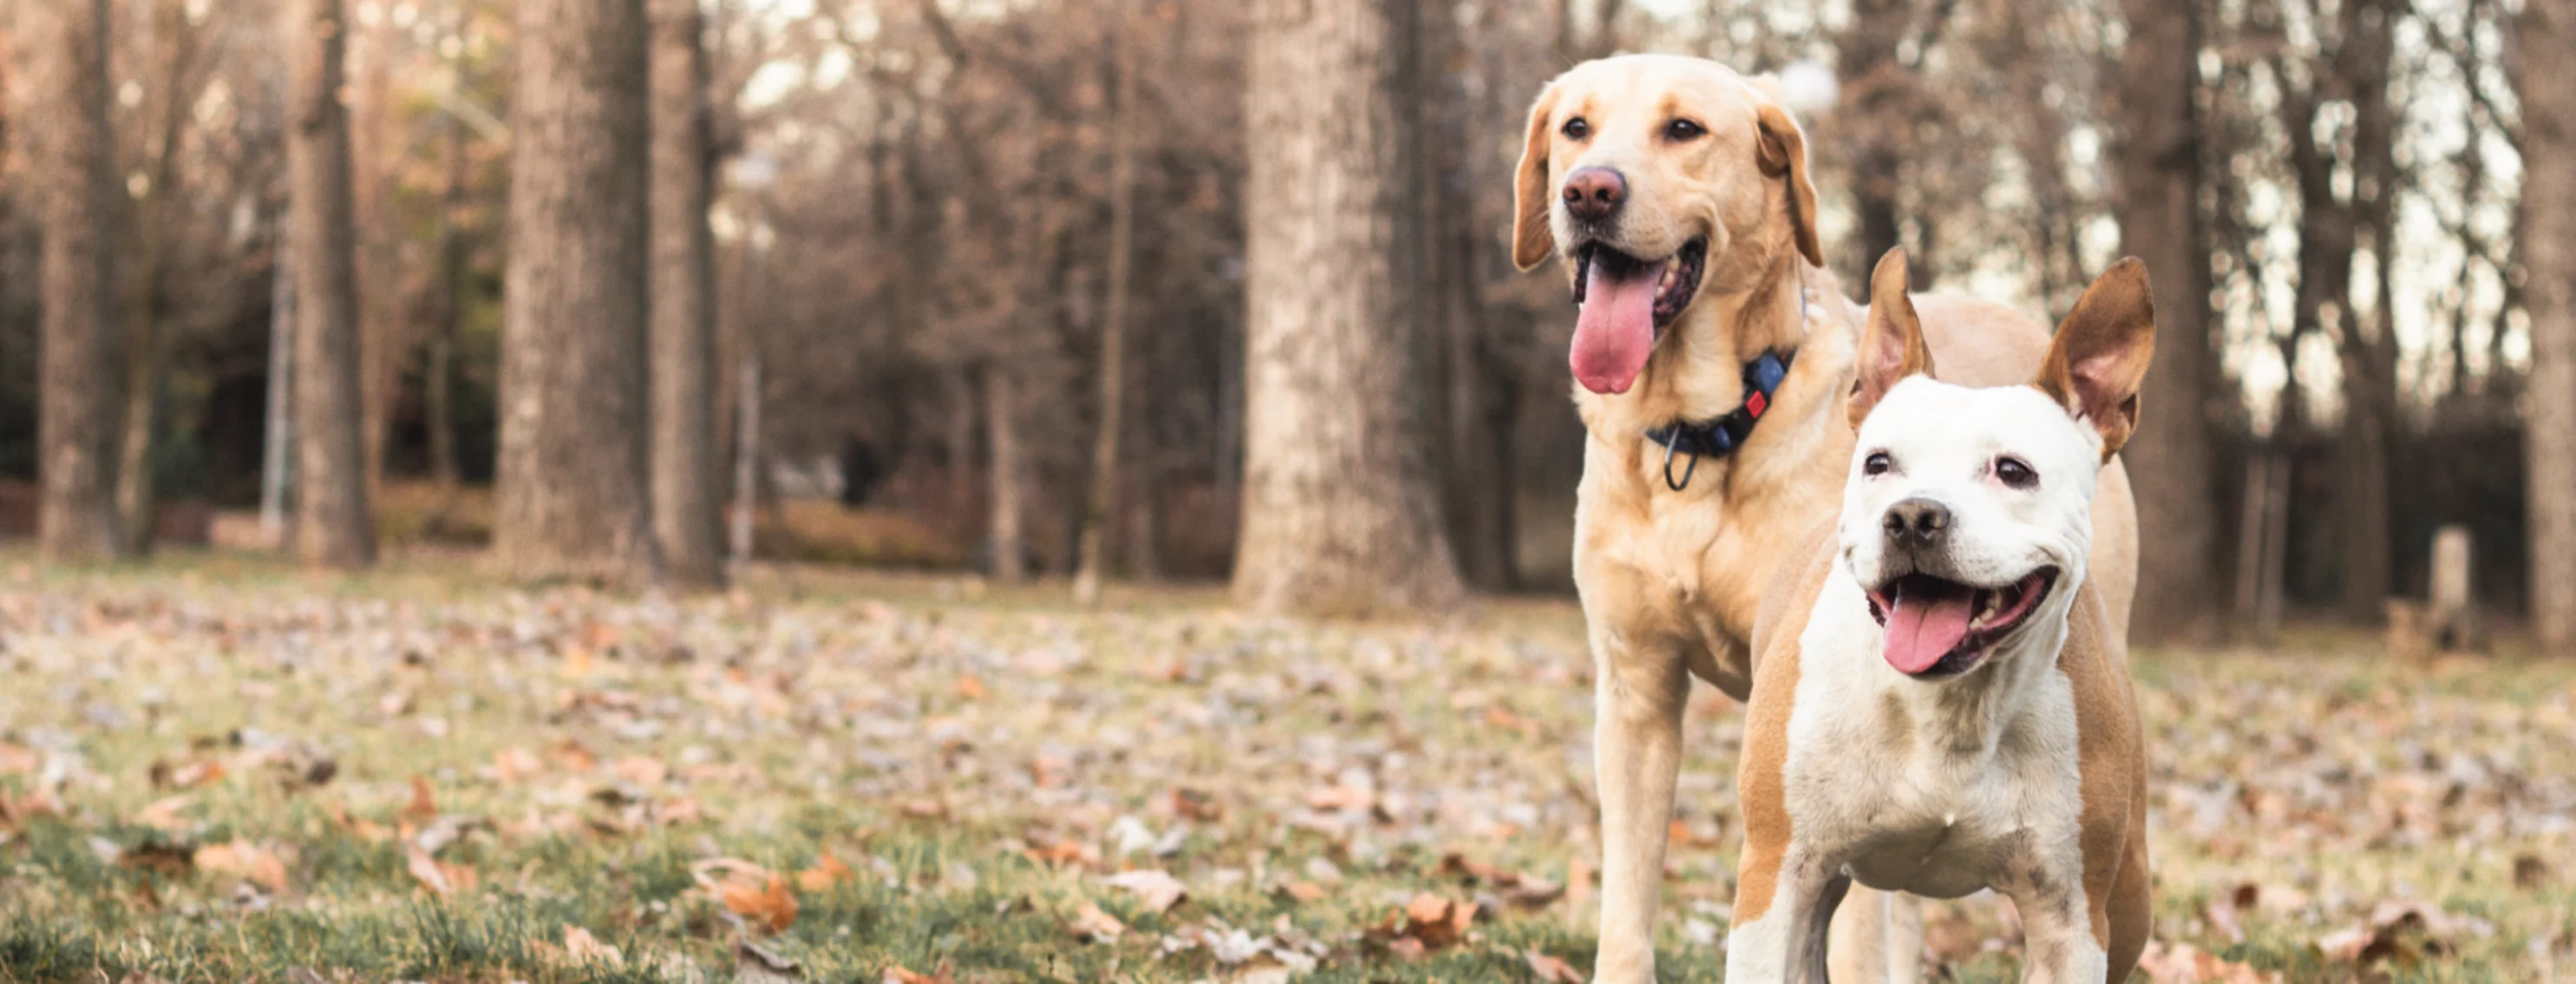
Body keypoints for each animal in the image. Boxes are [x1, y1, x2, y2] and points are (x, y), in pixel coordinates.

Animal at [1730, 249, 2153, 979]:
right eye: (1878, 463)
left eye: (2013, 471)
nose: (1913, 516)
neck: (1951, 707)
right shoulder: (1775, 879)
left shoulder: (2071, 922)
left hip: (2130, 901)